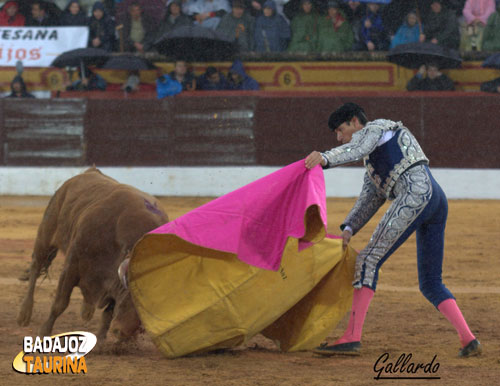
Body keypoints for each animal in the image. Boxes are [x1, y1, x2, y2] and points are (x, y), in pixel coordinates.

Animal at [16, 168, 169, 340]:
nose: (123, 334)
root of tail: (90, 171)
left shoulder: (112, 282)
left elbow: (107, 315)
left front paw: (101, 340)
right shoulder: (71, 267)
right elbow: (60, 303)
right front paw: (44, 332)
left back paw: (86, 311)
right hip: (46, 235)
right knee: (36, 268)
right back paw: (24, 313)